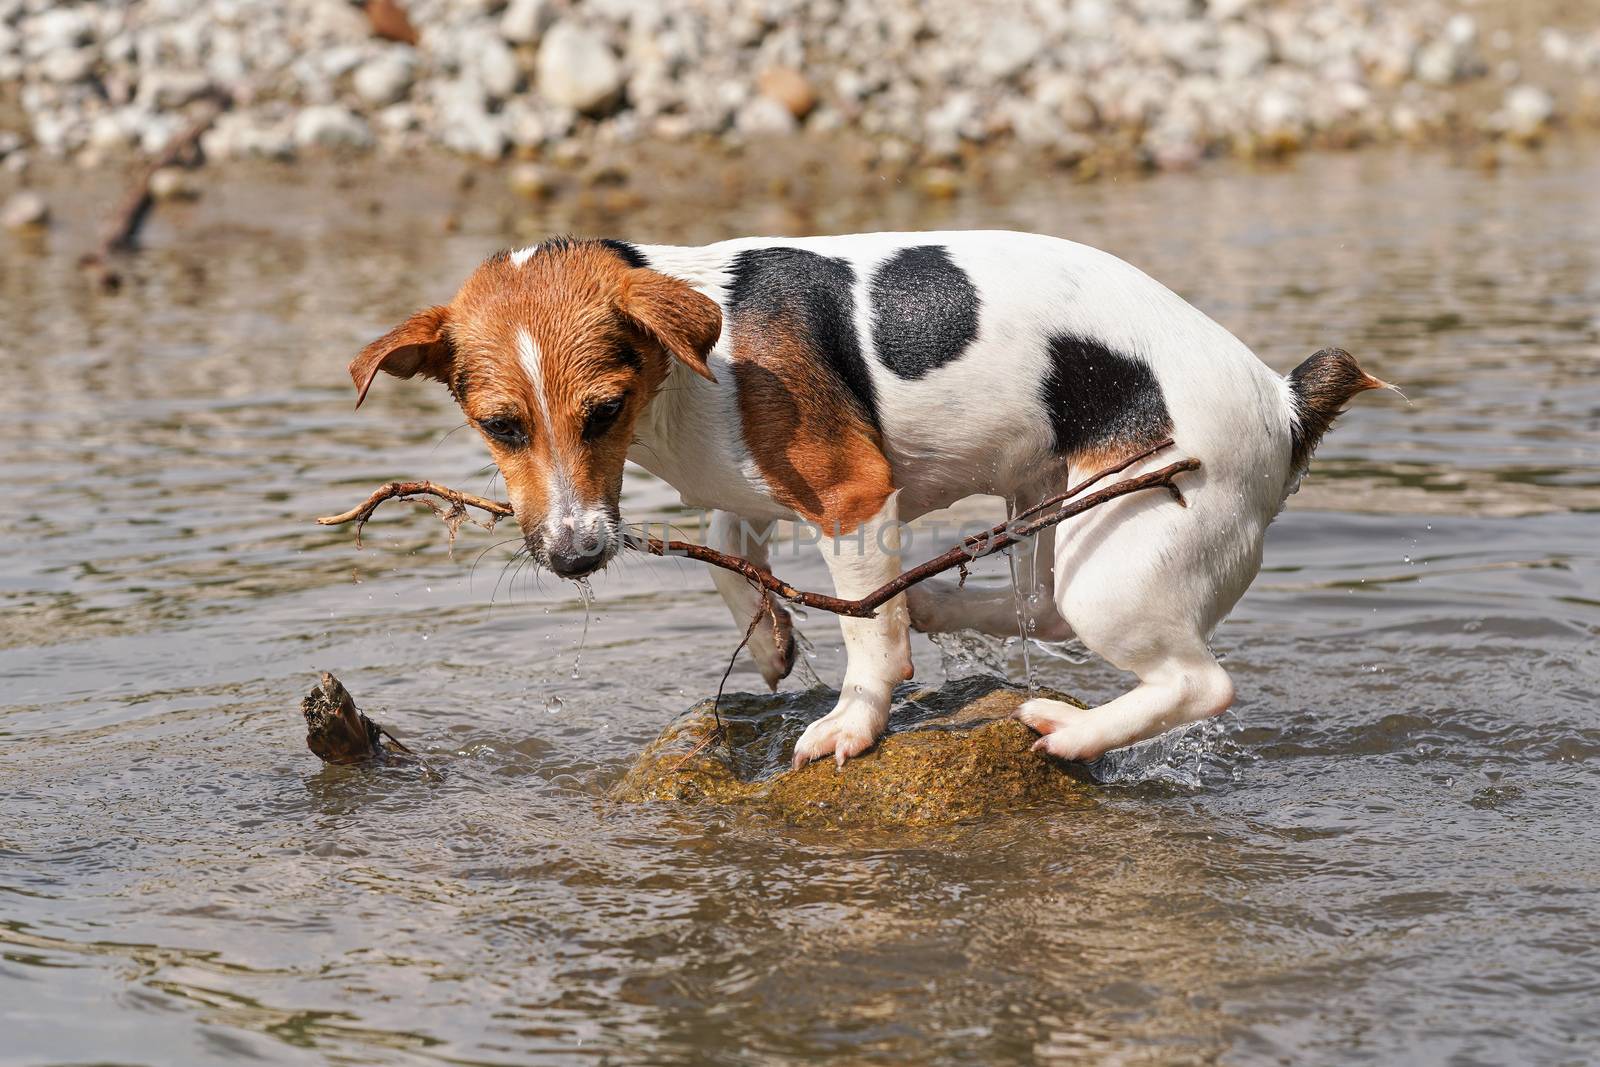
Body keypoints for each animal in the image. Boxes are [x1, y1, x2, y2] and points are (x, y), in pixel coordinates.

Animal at [353, 231, 1388, 767]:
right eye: (500, 427)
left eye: (602, 410)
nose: (572, 556)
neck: (696, 359)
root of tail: (1281, 398)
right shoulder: (753, 491)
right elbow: (730, 546)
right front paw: (769, 638)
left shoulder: (853, 495)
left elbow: (862, 638)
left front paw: (854, 720)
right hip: (1054, 506)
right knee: (1038, 605)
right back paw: (934, 603)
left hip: (1123, 552)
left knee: (1199, 684)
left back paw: (1068, 734)